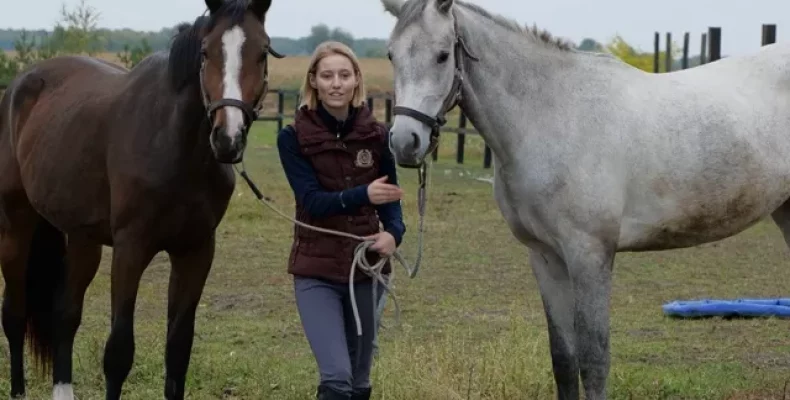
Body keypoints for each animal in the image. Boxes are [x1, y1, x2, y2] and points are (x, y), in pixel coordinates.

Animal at [0, 0, 284, 396]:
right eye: (205, 52)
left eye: (262, 53)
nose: (228, 139)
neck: (173, 144)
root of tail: (19, 85)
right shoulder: (130, 249)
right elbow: (118, 352)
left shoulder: (195, 251)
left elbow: (178, 351)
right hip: (16, 224)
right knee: (13, 313)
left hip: (84, 239)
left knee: (65, 315)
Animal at [380, 0, 790, 396]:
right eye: (391, 55)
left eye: (442, 55)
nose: (405, 142)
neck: (550, 116)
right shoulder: (546, 258)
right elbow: (563, 359)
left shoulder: (590, 256)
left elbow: (594, 360)